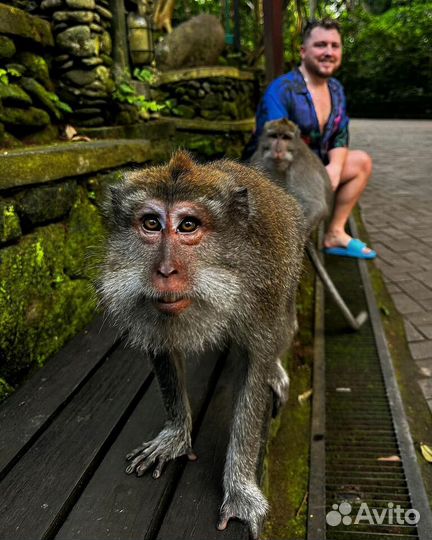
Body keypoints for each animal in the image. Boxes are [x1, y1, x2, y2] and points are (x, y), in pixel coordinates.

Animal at [97, 150, 308, 536]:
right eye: (151, 223)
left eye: (188, 226)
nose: (165, 271)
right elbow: (163, 347)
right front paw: (176, 435)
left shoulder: (263, 290)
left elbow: (254, 369)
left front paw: (240, 488)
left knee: (284, 328)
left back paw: (276, 368)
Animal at [250, 118, 368, 332]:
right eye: (274, 136)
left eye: (285, 138)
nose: (278, 148)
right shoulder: (258, 162)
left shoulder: (301, 169)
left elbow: (315, 205)